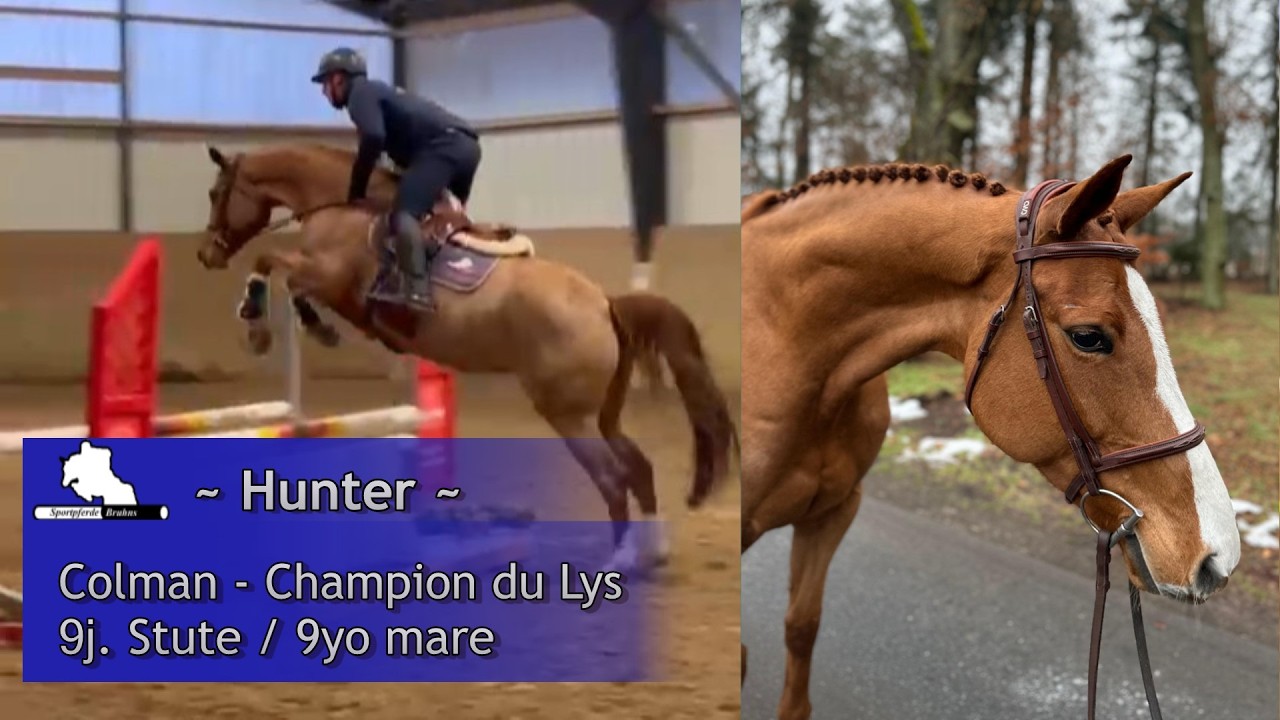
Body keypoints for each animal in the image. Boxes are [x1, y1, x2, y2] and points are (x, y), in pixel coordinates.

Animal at [195, 142, 737, 575]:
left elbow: (275, 265)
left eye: (215, 193)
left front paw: (264, 322)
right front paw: (300, 324)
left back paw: (620, 559)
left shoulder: (329, 277)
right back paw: (654, 551)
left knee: (612, 476)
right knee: (638, 467)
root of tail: (605, 303)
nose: (205, 255)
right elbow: (285, 273)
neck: (344, 207)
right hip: (602, 412)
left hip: (567, 414)